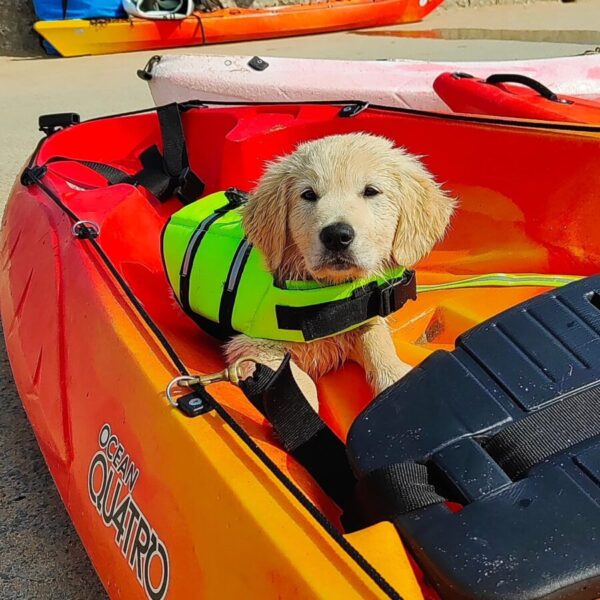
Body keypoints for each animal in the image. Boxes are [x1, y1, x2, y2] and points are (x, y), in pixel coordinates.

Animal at [225, 133, 454, 410]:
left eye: (371, 191)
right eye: (308, 194)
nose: (336, 236)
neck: (326, 295)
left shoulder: (360, 320)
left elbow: (377, 341)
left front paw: (396, 376)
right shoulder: (250, 346)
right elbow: (299, 384)